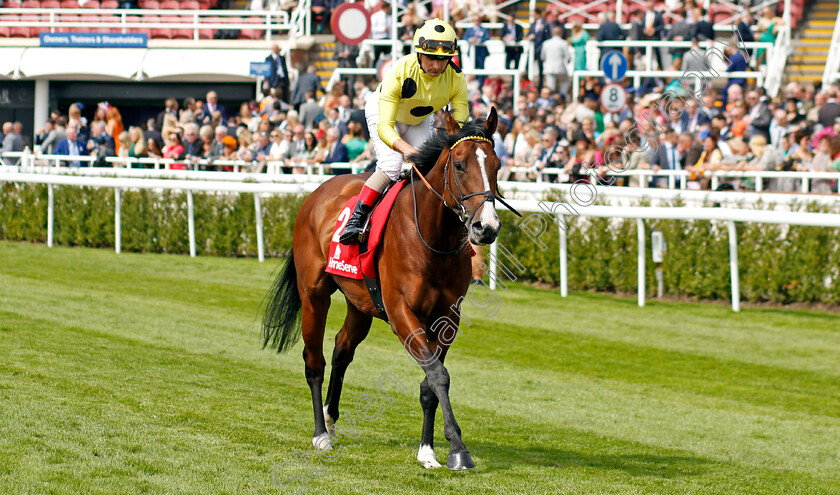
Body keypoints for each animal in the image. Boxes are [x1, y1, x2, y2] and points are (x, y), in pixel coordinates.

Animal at [260, 108, 506, 472]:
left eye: (497, 165)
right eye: (460, 164)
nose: (485, 227)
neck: (433, 238)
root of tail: (318, 193)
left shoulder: (448, 318)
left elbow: (431, 382)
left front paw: (428, 450)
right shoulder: (402, 312)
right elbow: (438, 375)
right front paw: (458, 449)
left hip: (360, 303)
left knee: (342, 349)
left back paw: (331, 416)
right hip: (313, 294)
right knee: (314, 360)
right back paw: (320, 435)